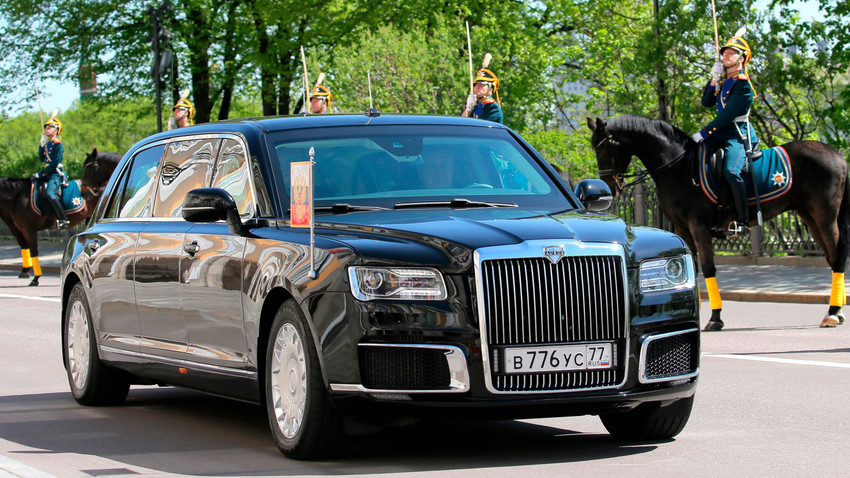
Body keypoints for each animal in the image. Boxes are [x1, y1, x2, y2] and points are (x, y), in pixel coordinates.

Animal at [0, 148, 121, 286]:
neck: (18, 197)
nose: (84, 192)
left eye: (89, 168)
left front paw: (35, 278)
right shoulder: (16, 228)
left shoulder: (29, 229)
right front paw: (25, 272)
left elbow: (34, 250)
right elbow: (24, 247)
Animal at [584, 116, 848, 332]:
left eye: (605, 147)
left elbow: (708, 268)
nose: (609, 187)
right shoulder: (682, 229)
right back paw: (836, 310)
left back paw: (833, 313)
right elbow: (693, 268)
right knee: (831, 256)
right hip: (810, 216)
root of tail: (836, 155)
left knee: (837, 256)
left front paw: (715, 318)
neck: (678, 167)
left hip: (825, 216)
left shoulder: (698, 226)